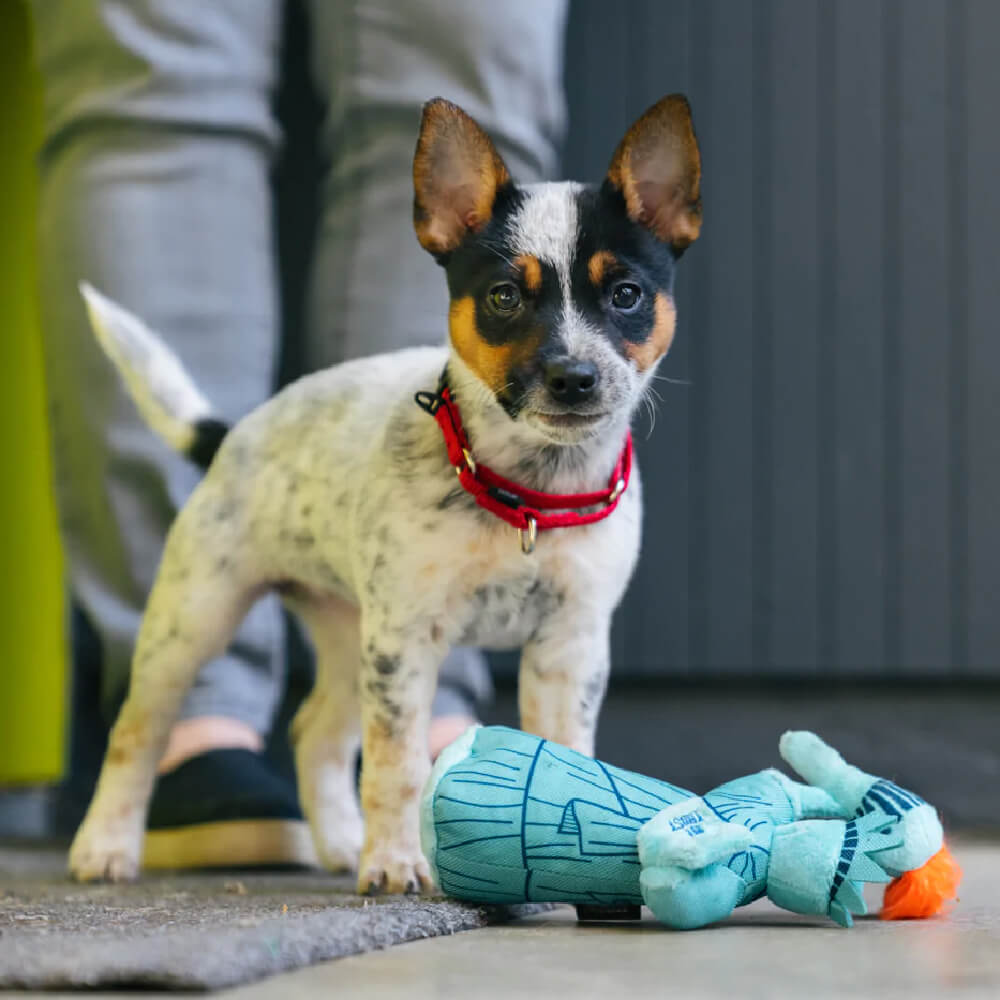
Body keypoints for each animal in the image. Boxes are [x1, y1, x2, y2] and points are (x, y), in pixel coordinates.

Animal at [70, 94, 704, 892]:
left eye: (626, 295)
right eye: (504, 297)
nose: (575, 378)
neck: (526, 491)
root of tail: (236, 432)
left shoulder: (571, 644)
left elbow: (564, 757)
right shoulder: (407, 639)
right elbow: (398, 766)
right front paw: (398, 862)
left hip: (351, 635)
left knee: (314, 733)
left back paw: (343, 842)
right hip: (194, 622)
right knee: (136, 733)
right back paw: (106, 845)